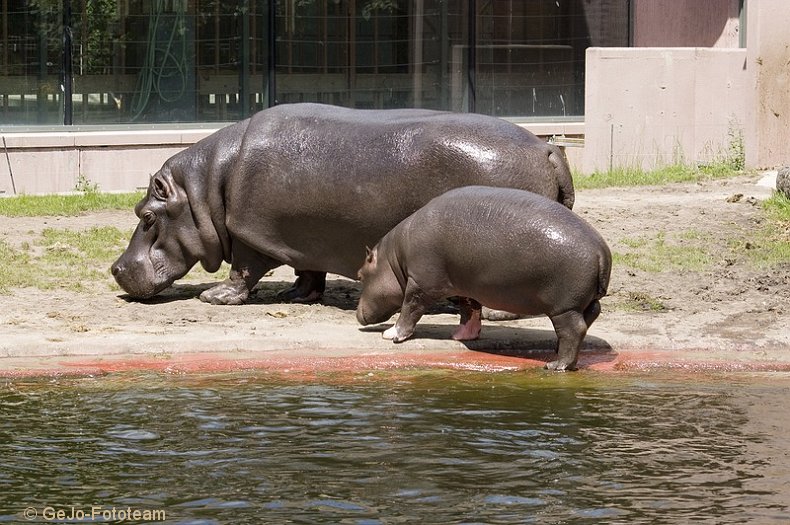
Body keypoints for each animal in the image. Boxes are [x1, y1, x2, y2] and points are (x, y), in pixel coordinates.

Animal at [111, 102, 576, 302]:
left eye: (146, 216)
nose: (115, 268)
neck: (205, 188)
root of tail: (546, 148)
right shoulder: (300, 234)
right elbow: (307, 266)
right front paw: (298, 295)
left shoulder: (250, 231)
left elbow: (243, 267)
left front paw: (216, 297)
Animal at [358, 186, 612, 370]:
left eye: (360, 275)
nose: (358, 315)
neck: (394, 258)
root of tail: (601, 250)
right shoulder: (465, 283)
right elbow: (469, 307)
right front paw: (461, 336)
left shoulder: (421, 284)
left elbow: (410, 309)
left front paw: (391, 334)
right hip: (584, 302)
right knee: (589, 317)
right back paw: (558, 352)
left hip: (564, 308)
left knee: (574, 329)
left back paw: (556, 365)